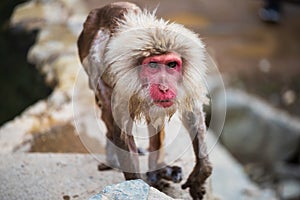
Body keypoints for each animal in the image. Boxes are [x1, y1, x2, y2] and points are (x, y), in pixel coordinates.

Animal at [77, 1, 213, 200]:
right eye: (153, 65)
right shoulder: (122, 85)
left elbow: (191, 111)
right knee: (108, 112)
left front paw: (201, 172)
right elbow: (122, 130)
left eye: (172, 65)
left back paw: (157, 169)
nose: (164, 87)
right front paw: (138, 185)